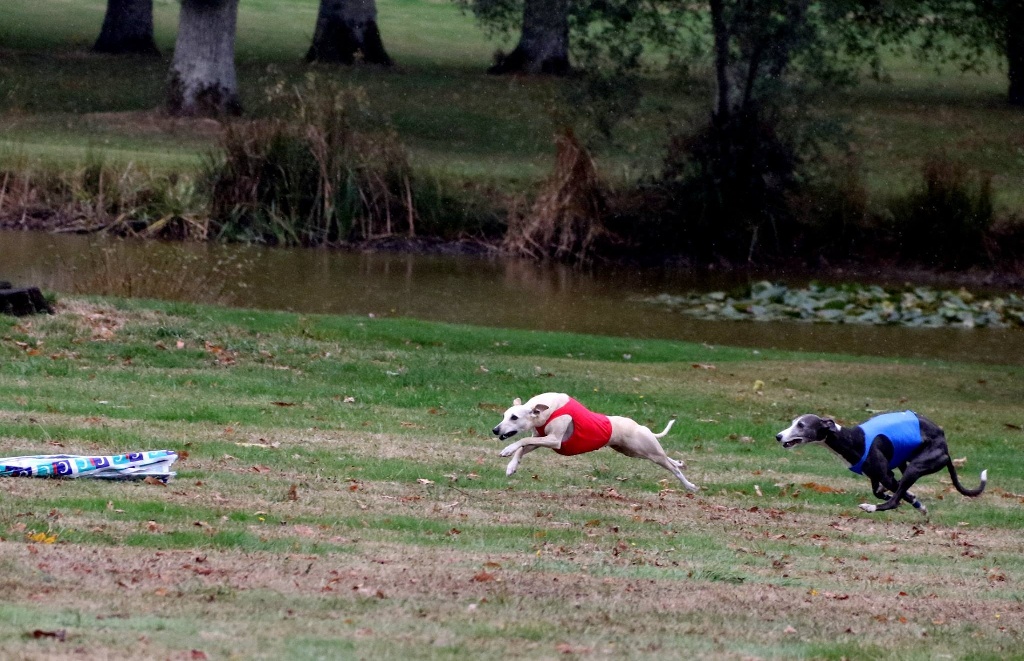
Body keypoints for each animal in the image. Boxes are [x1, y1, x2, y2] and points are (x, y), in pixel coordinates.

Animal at [491, 392, 700, 491]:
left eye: (514, 417)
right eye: (504, 415)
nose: (495, 430)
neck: (548, 409)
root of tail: (641, 426)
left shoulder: (554, 440)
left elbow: (523, 439)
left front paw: (507, 449)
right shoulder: (539, 439)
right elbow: (524, 446)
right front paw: (511, 466)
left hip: (647, 450)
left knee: (672, 468)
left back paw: (689, 485)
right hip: (633, 451)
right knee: (667, 459)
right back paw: (680, 463)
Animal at [778, 411, 987, 515]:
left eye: (801, 425)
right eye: (794, 422)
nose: (778, 436)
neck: (854, 439)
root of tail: (945, 445)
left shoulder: (886, 476)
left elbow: (895, 494)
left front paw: (913, 501)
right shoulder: (875, 476)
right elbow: (879, 491)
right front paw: (909, 498)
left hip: (916, 466)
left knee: (895, 499)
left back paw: (872, 507)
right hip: (905, 460)